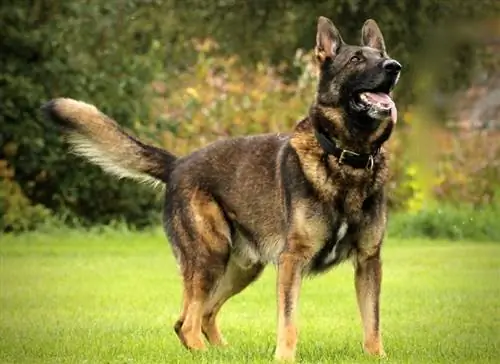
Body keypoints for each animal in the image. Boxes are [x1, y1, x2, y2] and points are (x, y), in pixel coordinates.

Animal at [44, 17, 402, 362]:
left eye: (382, 55)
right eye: (356, 59)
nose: (394, 66)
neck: (346, 157)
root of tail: (178, 164)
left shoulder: (369, 262)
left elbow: (373, 323)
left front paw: (378, 357)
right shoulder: (292, 262)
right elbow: (289, 323)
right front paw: (284, 359)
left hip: (241, 268)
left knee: (198, 316)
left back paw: (223, 351)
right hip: (209, 259)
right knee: (188, 322)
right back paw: (206, 354)